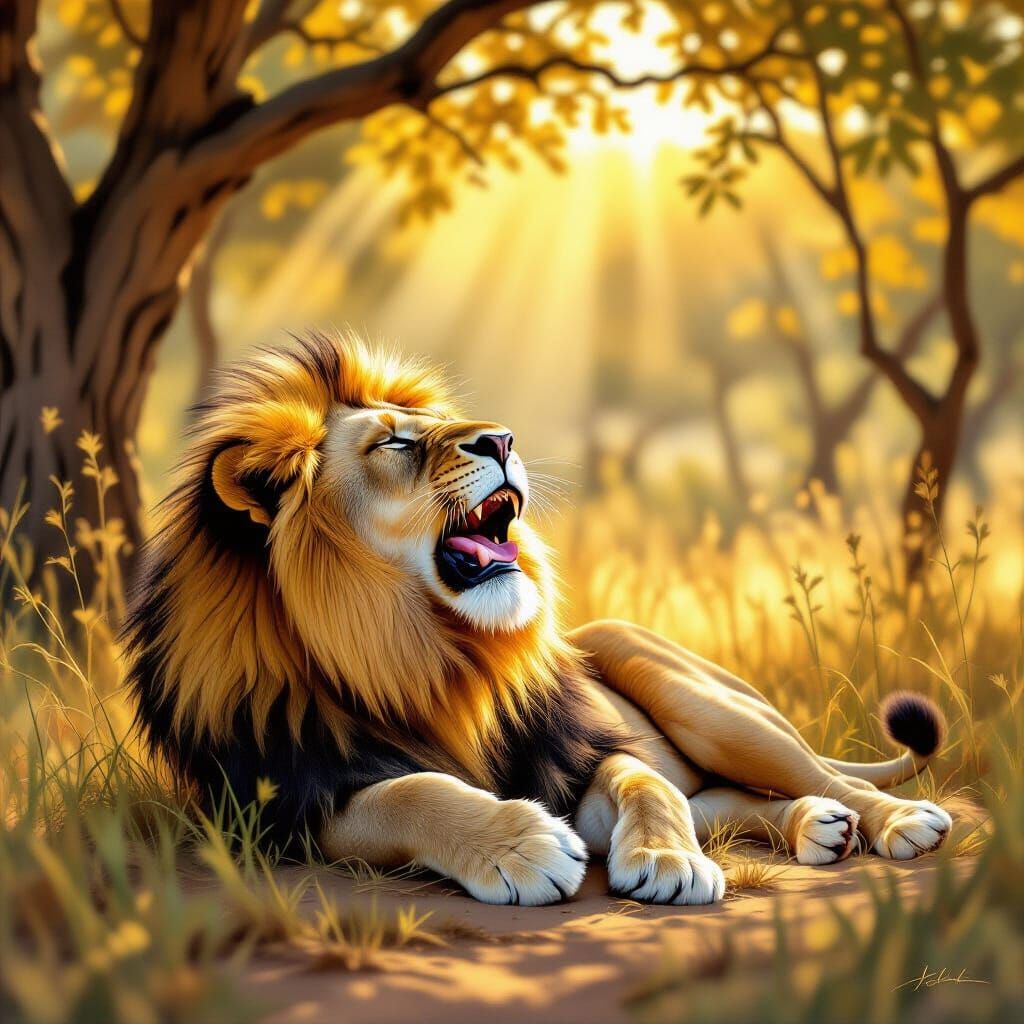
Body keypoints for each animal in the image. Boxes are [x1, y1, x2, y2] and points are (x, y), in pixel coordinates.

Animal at [124, 332, 952, 906]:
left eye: (439, 423)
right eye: (394, 442)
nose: (501, 439)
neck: (420, 655)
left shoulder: (581, 752)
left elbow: (642, 782)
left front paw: (669, 861)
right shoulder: (293, 806)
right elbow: (411, 792)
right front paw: (524, 848)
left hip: (692, 694)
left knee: (814, 774)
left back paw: (895, 821)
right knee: (735, 798)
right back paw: (817, 826)